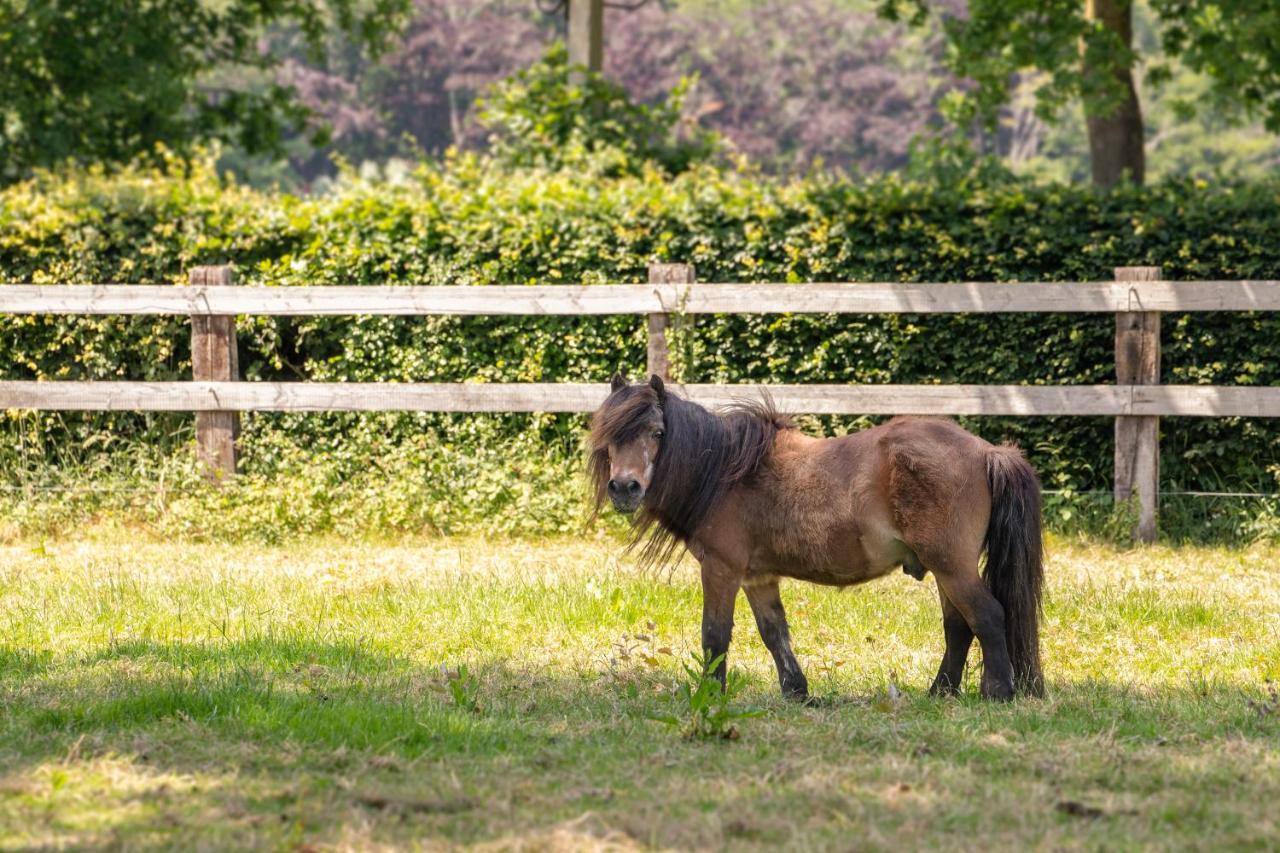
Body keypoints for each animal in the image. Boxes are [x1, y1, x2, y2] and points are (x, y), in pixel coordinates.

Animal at [586, 376, 1044, 701]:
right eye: (610, 435)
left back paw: (998, 693)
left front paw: (710, 695)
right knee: (959, 626)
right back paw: (940, 692)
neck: (724, 472)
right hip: (945, 570)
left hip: (952, 566)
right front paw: (797, 692)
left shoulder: (721, 569)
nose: (624, 488)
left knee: (987, 616)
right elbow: (775, 633)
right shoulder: (757, 577)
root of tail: (987, 451)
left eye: (658, 432)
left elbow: (714, 635)